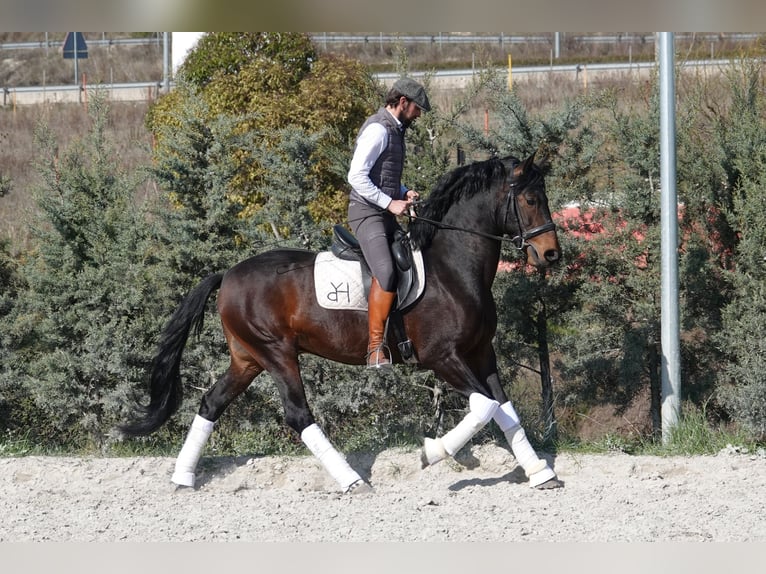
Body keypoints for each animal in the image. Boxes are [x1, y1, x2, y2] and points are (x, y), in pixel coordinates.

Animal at [121, 153, 563, 492]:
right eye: (529, 199)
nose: (551, 255)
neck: (452, 269)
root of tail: (228, 274)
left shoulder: (480, 353)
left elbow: (503, 409)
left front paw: (541, 473)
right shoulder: (443, 357)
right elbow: (484, 406)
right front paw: (432, 452)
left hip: (247, 358)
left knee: (211, 403)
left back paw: (183, 478)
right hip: (277, 353)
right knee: (299, 415)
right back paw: (352, 480)